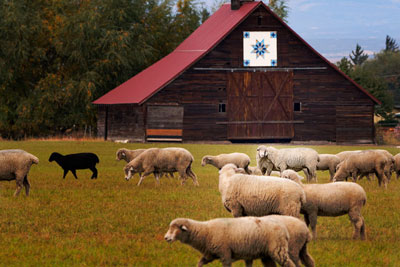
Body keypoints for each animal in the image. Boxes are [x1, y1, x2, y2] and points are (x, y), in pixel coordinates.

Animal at [163, 218, 296, 267]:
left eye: (175, 229)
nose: (166, 238)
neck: (205, 232)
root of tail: (284, 229)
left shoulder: (225, 254)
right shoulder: (210, 255)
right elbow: (199, 263)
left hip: (278, 250)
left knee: (289, 264)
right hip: (267, 254)